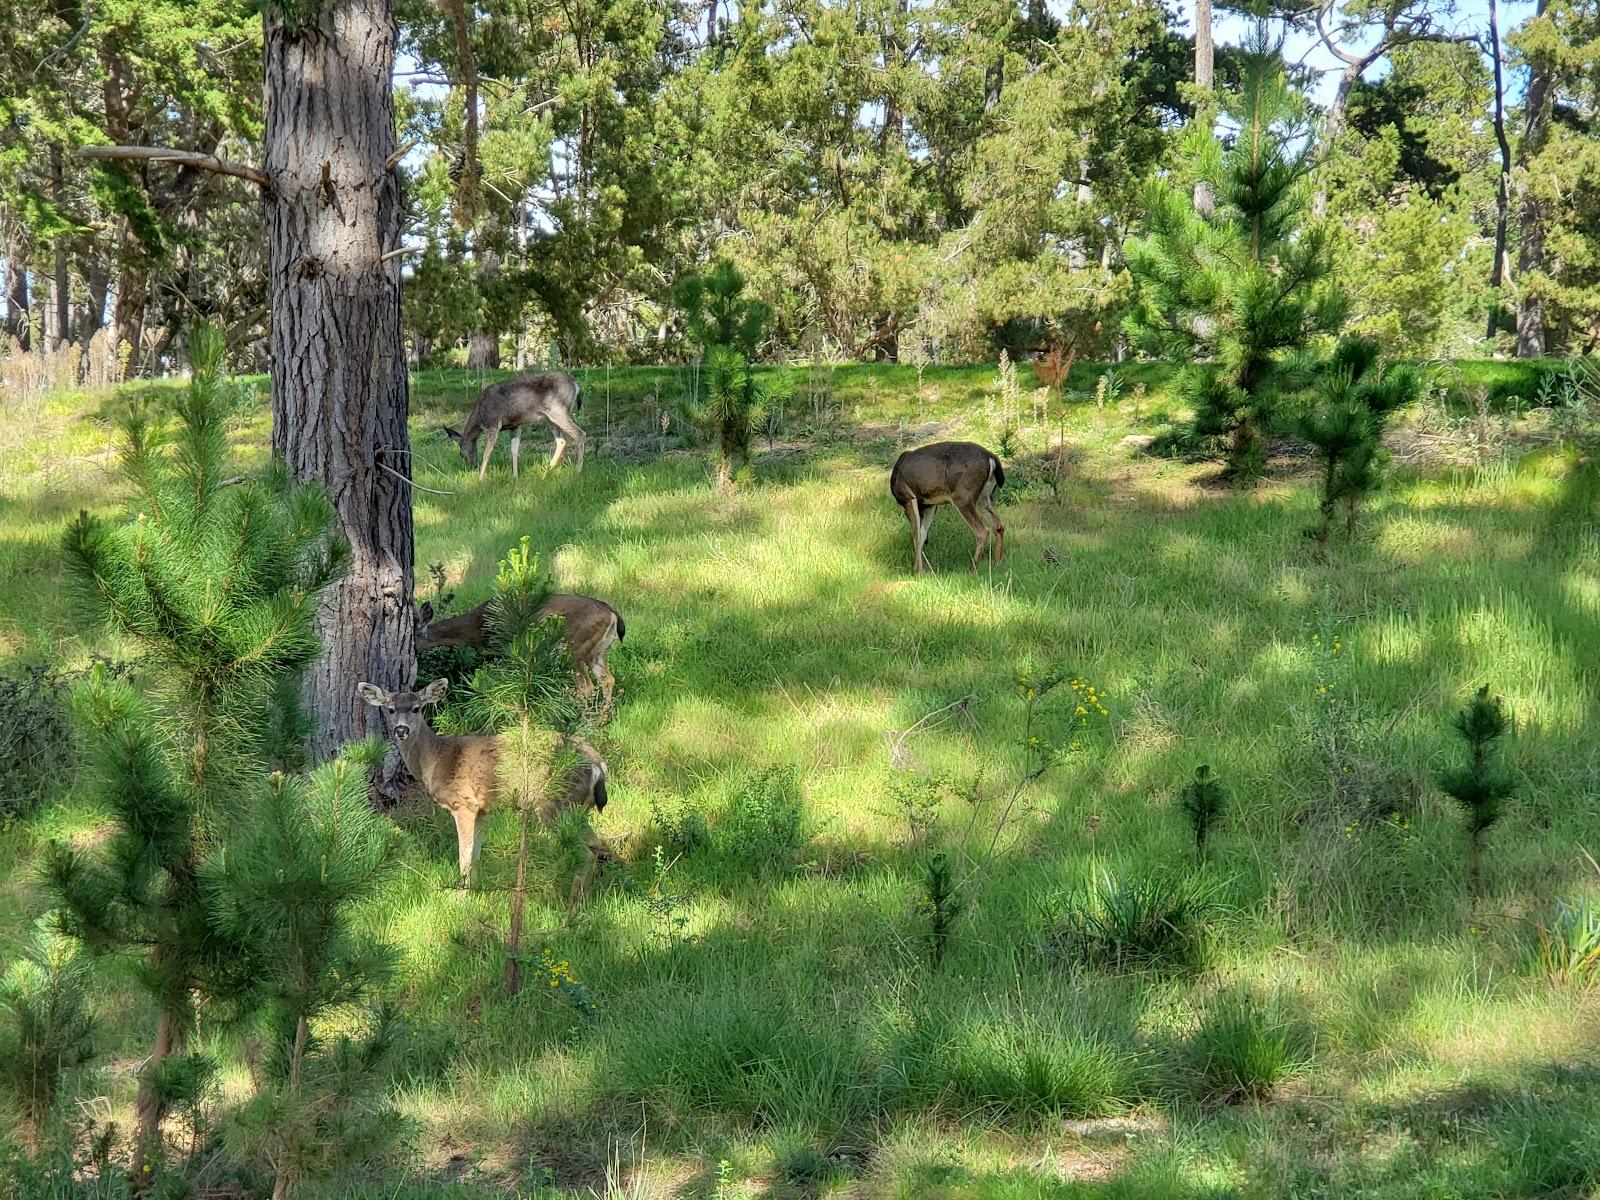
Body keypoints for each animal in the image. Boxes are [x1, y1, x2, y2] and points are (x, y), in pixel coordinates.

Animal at [353, 681, 608, 889]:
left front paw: (462, 896)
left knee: (586, 850)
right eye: (390, 709)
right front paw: (474, 893)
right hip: (576, 806)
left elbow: (464, 857)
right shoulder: (483, 809)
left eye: (417, 708)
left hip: (555, 803)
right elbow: (475, 855)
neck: (436, 759)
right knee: (596, 844)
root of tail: (598, 764)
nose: (401, 730)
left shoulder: (464, 803)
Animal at [412, 598, 624, 720]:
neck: (474, 629)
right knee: (607, 679)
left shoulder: (503, 649)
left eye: (414, 636)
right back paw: (601, 720)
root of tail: (613, 614)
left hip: (574, 648)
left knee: (586, 686)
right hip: (597, 651)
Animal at [441, 371, 585, 480]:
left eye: (461, 453)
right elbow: (514, 450)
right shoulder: (515, 425)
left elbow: (487, 453)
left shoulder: (493, 424)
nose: (472, 467)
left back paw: (578, 470)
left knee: (580, 434)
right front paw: (515, 476)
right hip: (550, 418)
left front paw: (480, 479)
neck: (479, 417)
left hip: (558, 411)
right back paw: (547, 472)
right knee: (561, 440)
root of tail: (576, 385)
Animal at [883, 438, 1004, 576]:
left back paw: (972, 570)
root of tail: (992, 458)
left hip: (963, 496)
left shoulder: (908, 497)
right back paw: (997, 564)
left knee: (982, 531)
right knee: (998, 525)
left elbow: (916, 536)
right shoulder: (930, 505)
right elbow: (923, 534)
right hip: (985, 497)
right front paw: (921, 568)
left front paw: (918, 571)